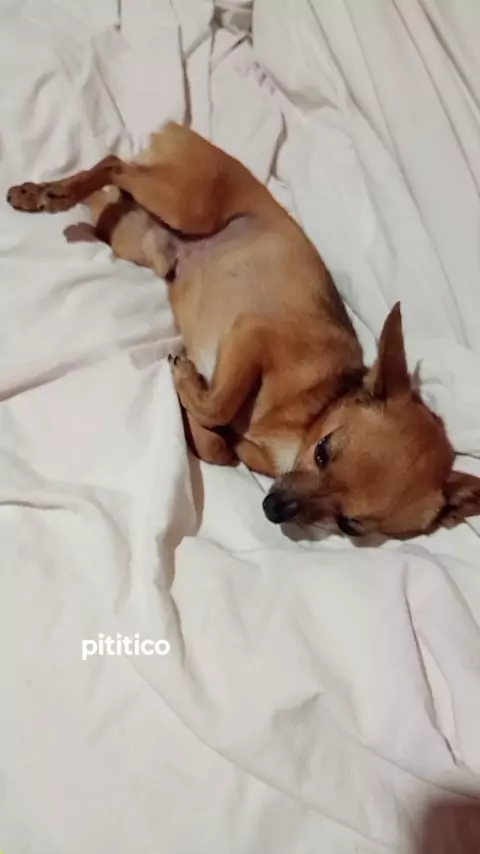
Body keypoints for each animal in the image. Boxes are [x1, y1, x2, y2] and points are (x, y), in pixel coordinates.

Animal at [7, 122, 480, 539]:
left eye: (349, 525)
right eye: (323, 451)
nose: (273, 509)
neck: (313, 410)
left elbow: (219, 448)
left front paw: (193, 419)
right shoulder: (253, 334)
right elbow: (220, 405)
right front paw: (188, 383)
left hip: (134, 236)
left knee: (109, 194)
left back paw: (38, 194)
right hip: (186, 205)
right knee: (114, 164)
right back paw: (52, 194)